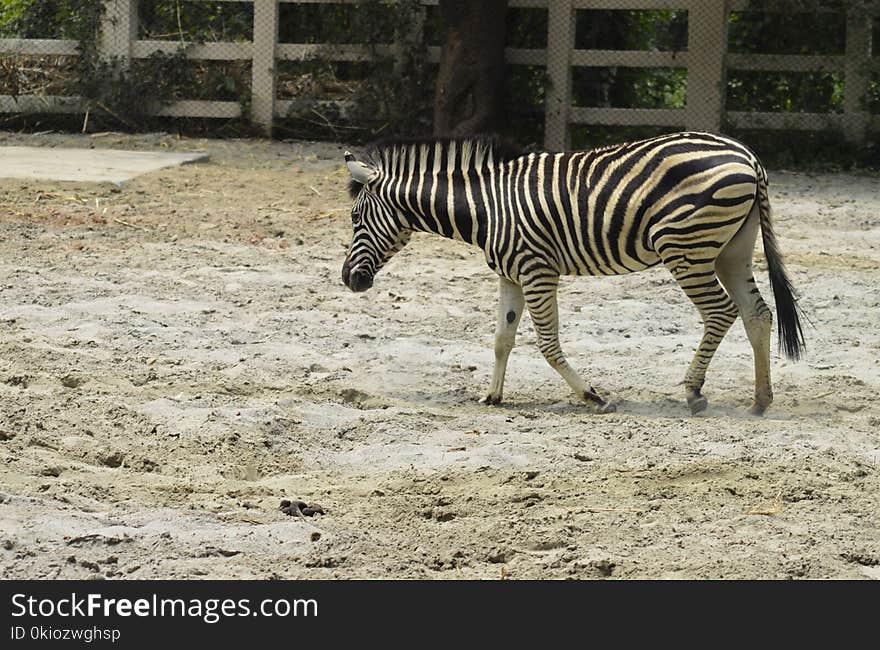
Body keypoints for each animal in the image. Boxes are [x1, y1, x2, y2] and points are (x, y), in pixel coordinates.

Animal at [340, 132, 808, 416]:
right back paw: (760, 400)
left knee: (720, 312)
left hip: (685, 248)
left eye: (355, 217)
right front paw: (492, 396)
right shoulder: (511, 275)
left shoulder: (537, 269)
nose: (348, 280)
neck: (486, 208)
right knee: (757, 313)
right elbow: (502, 339)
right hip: (732, 250)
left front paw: (593, 397)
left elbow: (547, 344)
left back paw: (694, 392)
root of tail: (747, 155)